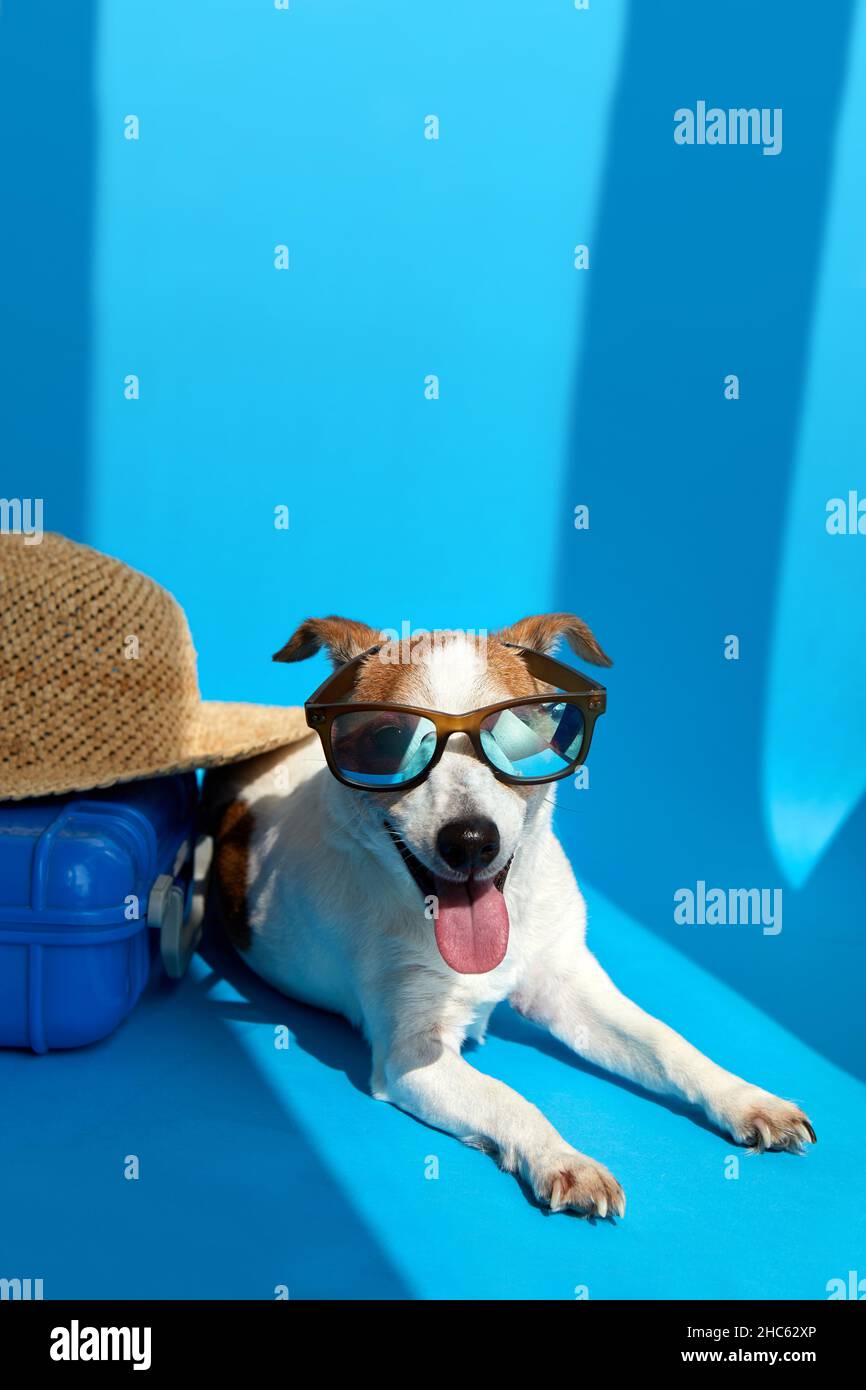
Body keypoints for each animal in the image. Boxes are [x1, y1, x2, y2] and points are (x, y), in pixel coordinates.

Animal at [207, 617, 817, 1217]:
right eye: (387, 742)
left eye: (514, 736)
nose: (471, 841)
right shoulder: (413, 1055)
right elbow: (510, 1098)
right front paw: (562, 1158)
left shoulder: (569, 991)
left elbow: (667, 1044)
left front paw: (746, 1098)